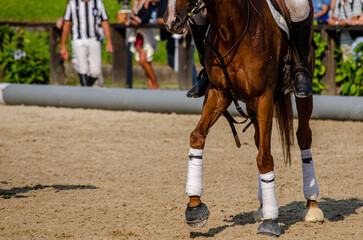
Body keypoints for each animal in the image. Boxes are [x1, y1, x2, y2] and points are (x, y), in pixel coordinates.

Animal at [164, 0, 326, 236]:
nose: (171, 21)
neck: (232, 30)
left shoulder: (264, 97)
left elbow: (265, 158)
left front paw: (271, 221)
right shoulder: (218, 94)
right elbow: (197, 137)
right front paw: (194, 208)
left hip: (301, 90)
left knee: (303, 136)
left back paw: (312, 206)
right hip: (251, 106)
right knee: (260, 141)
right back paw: (262, 206)